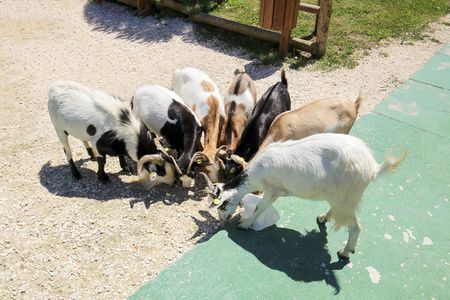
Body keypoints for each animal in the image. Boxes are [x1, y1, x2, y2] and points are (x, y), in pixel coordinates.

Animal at [204, 134, 408, 258]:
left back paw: (345, 251)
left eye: (222, 205)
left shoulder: (273, 191)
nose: (222, 220)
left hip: (347, 198)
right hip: (338, 196)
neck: (256, 173)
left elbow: (259, 207)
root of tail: (373, 167)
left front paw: (245, 224)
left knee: (355, 227)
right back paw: (323, 218)